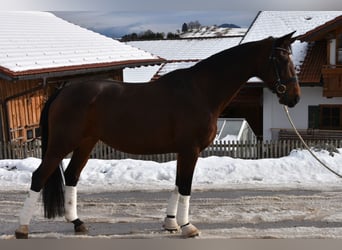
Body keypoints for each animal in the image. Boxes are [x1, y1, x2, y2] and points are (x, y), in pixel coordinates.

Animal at [15, 31, 300, 238]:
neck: (201, 91)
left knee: (72, 176)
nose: (294, 98)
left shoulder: (184, 151)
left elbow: (177, 183)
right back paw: (22, 228)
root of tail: (63, 90)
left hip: (86, 143)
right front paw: (187, 227)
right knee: (39, 176)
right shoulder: (190, 150)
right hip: (61, 144)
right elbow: (185, 186)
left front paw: (171, 223)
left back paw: (77, 223)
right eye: (281, 60)